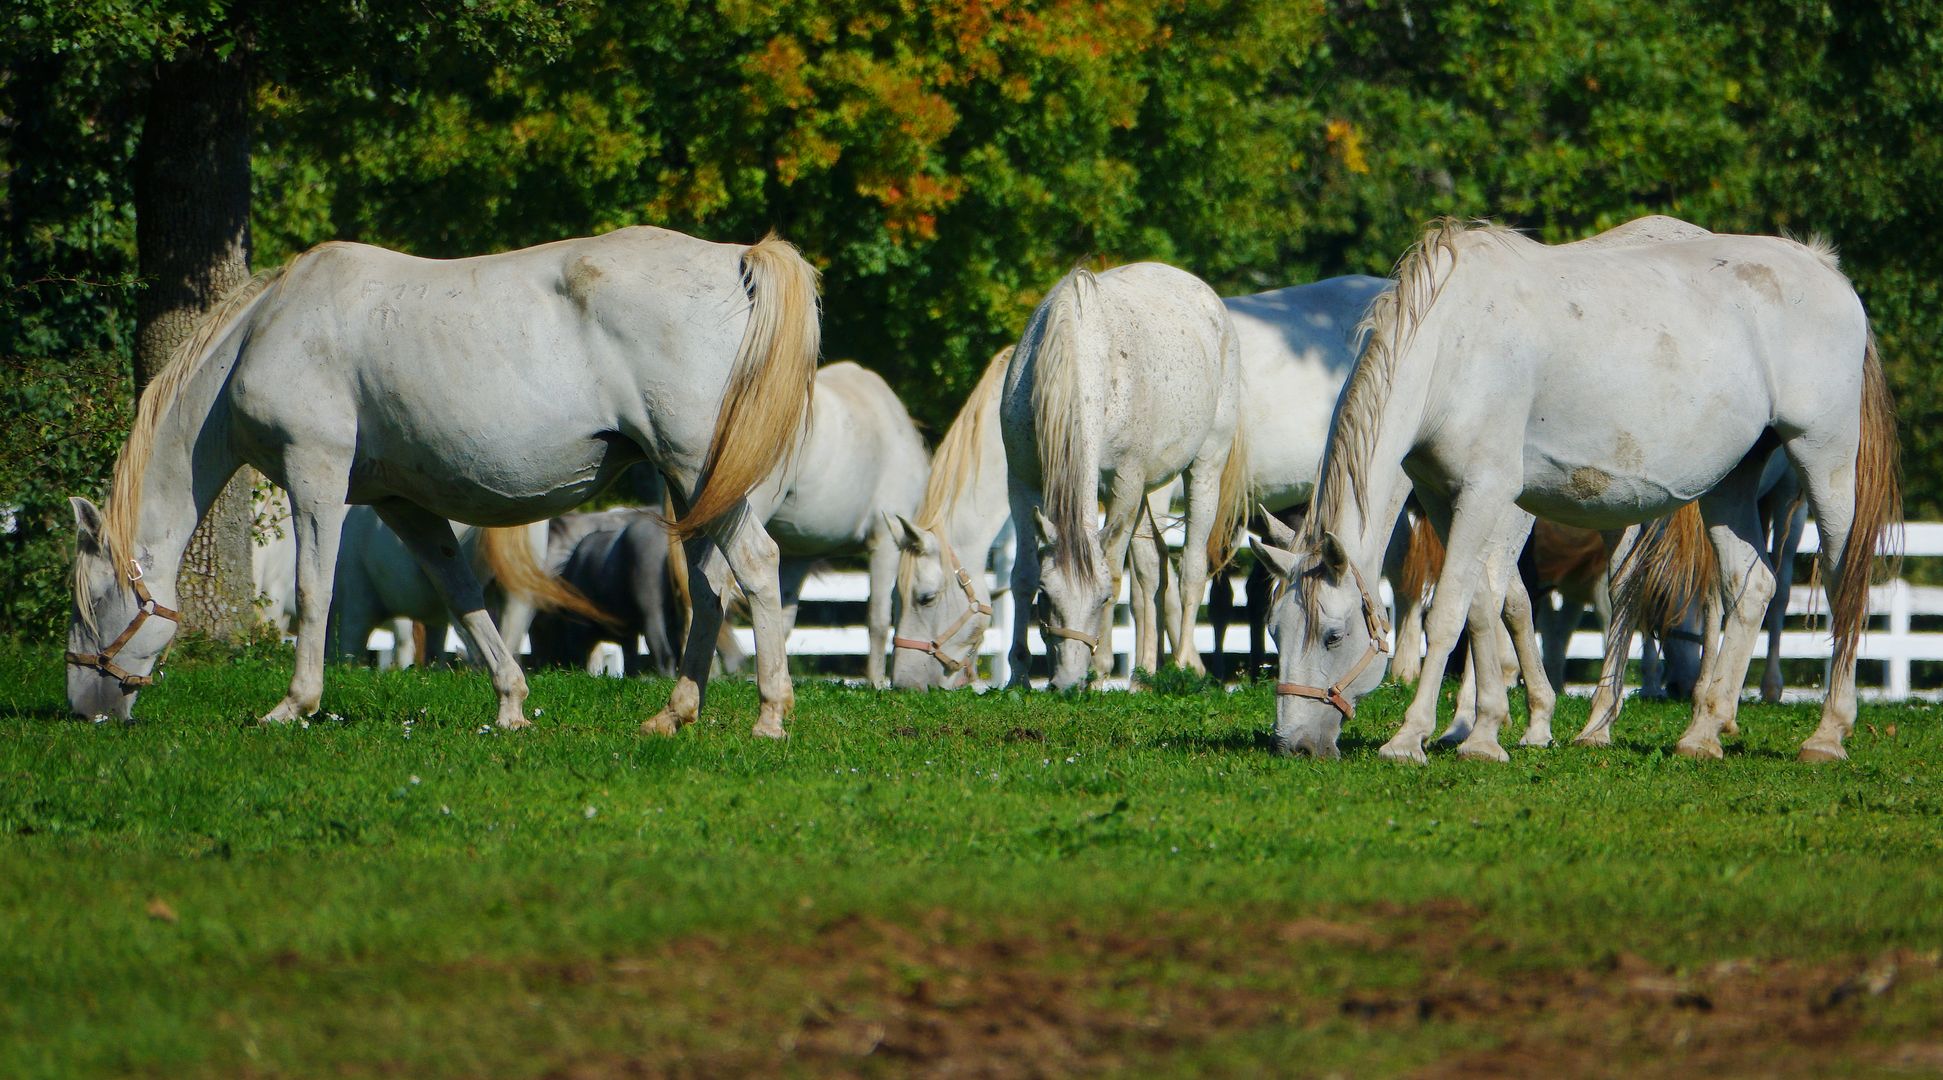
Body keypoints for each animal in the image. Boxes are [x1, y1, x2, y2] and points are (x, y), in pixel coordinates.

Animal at [64, 226, 816, 734]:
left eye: (93, 601)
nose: (82, 709)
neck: (265, 330)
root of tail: (734, 260)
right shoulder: (404, 504)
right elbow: (460, 597)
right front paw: (510, 704)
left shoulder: (314, 475)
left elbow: (313, 592)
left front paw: (294, 704)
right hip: (693, 487)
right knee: (711, 584)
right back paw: (675, 712)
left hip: (694, 469)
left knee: (756, 565)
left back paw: (770, 716)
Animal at [1002, 262, 1243, 687]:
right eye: (1046, 595)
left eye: (1100, 601)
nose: (1067, 683)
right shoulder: (1021, 480)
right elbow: (1022, 575)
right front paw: (1017, 674)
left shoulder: (1124, 484)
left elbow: (1115, 573)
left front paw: (1099, 672)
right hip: (1149, 491)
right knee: (1151, 569)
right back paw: (1142, 675)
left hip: (1204, 468)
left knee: (1191, 569)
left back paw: (1182, 664)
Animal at [1251, 215, 1904, 765]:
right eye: (1276, 628)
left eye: (1334, 634)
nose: (1294, 744)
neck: (1453, 344)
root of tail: (1823, 266)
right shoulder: (1444, 496)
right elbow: (1487, 603)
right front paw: (1486, 733)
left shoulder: (1488, 490)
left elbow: (1451, 611)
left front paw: (1410, 738)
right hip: (1732, 482)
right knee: (1752, 587)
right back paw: (1701, 733)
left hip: (1823, 460)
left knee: (1842, 580)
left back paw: (1827, 735)